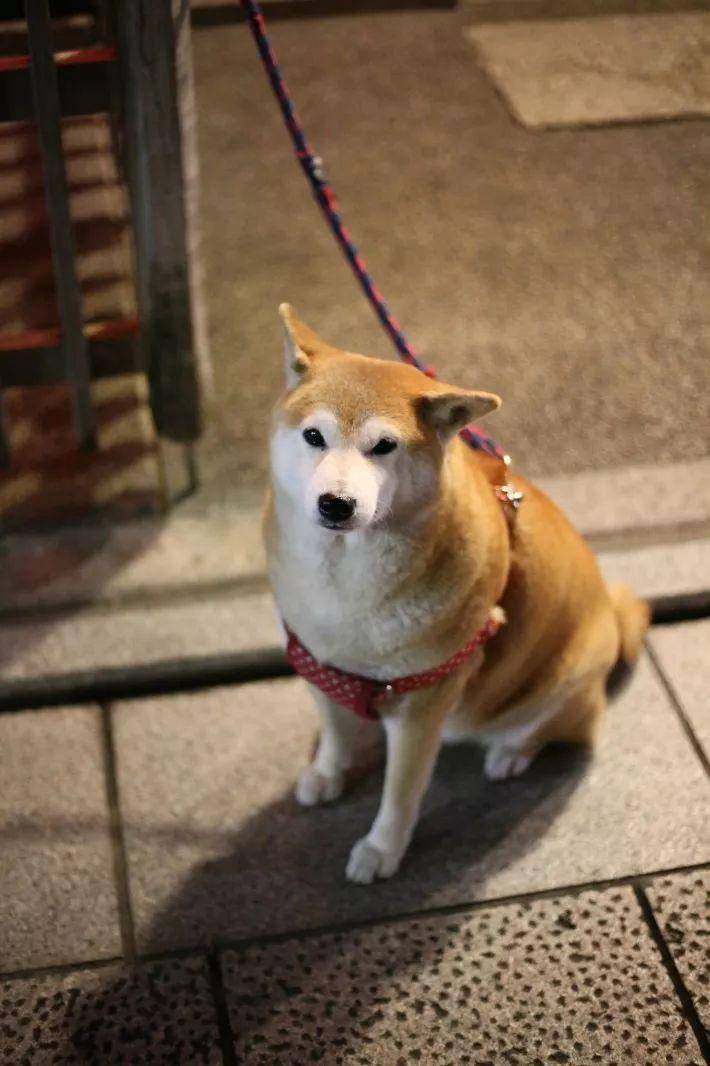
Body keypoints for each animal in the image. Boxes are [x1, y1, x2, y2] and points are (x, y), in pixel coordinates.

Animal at [264, 302, 648, 882]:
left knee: (558, 727)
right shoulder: (318, 663)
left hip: (568, 674)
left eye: (384, 446)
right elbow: (334, 732)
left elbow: (400, 794)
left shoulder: (423, 703)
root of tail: (608, 612)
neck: (343, 590)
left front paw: (382, 849)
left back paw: (512, 753)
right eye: (314, 436)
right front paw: (328, 772)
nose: (336, 503)